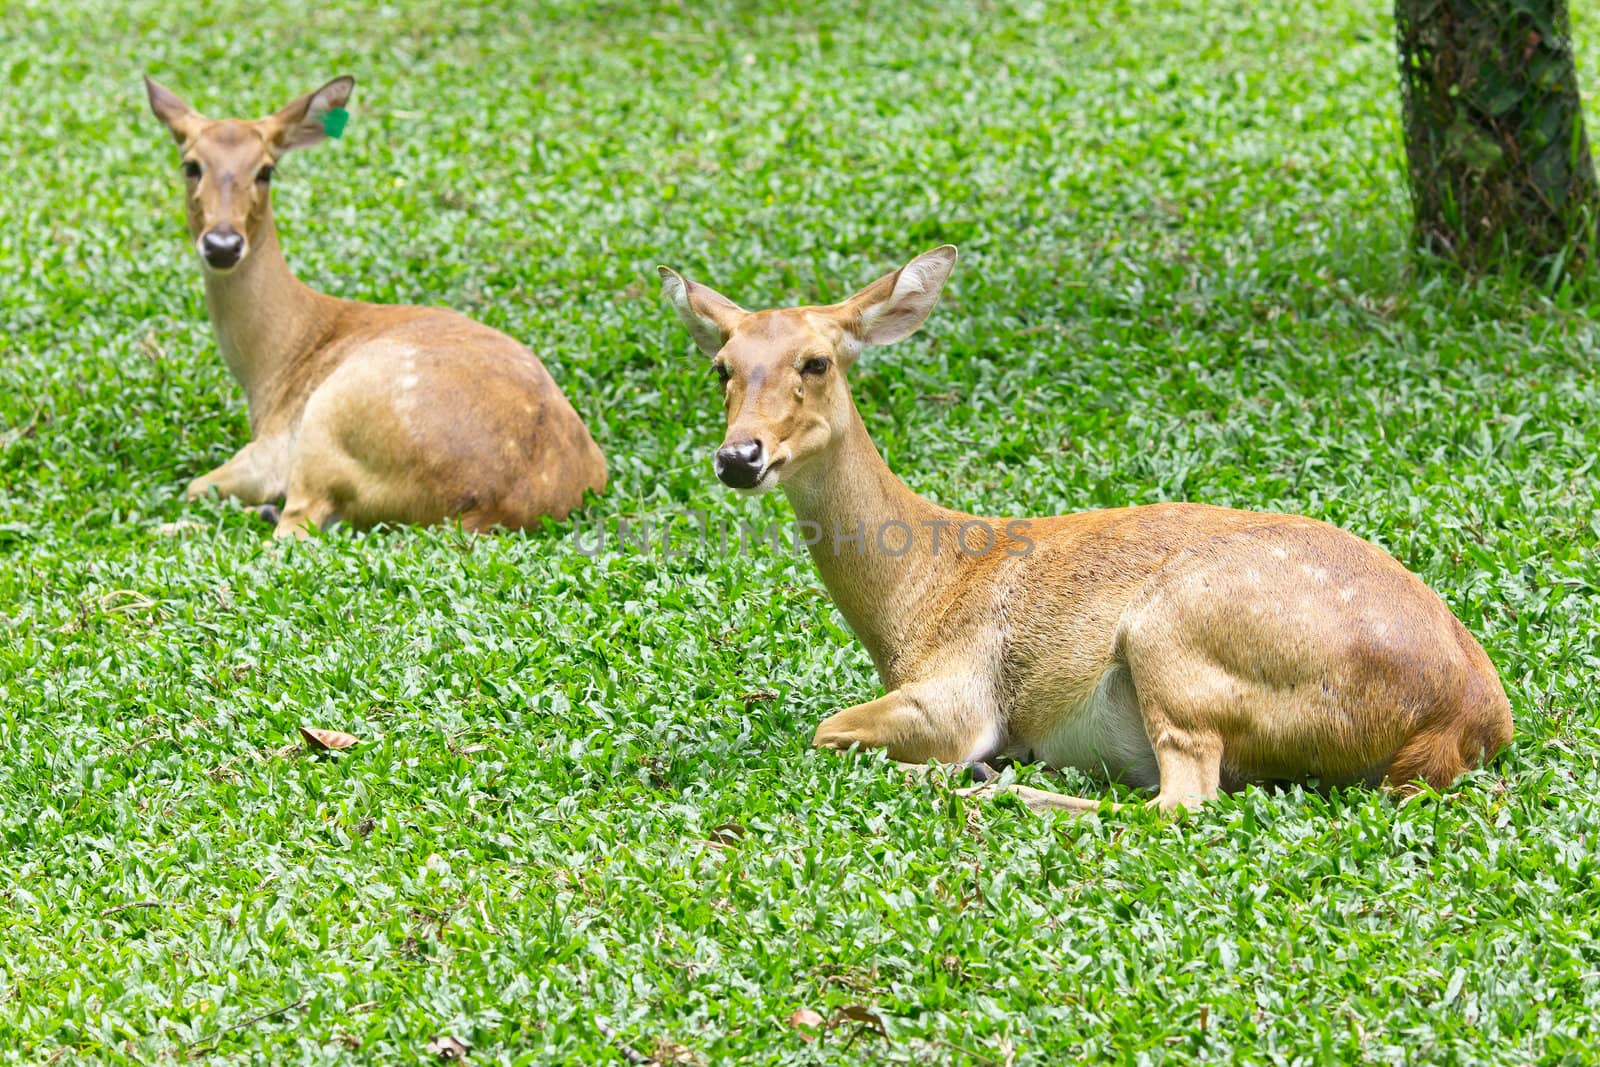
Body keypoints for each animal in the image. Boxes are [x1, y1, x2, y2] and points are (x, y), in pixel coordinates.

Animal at [142, 75, 604, 537]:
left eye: (266, 170)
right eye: (191, 165)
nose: (222, 245)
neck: (276, 364)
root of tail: (492, 507)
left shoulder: (269, 453)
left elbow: (195, 486)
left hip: (326, 426)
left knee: (293, 529)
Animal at [659, 246, 1510, 812]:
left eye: (817, 361)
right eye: (722, 367)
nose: (739, 455)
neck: (917, 597)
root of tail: (1466, 719)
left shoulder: (960, 690)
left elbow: (826, 729)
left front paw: (972, 764)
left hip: (1174, 636)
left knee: (1181, 801)